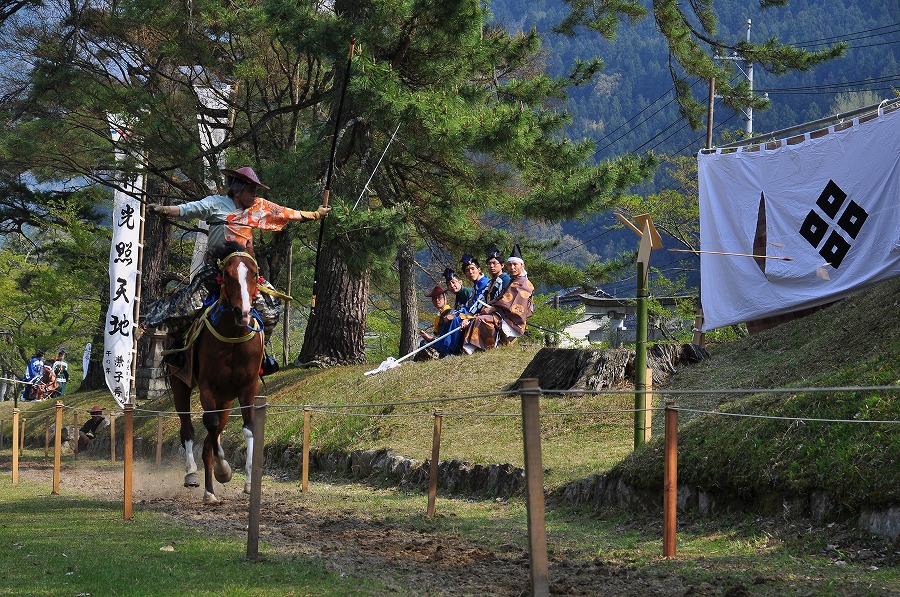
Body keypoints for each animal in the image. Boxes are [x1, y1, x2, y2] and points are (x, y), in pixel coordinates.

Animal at [170, 242, 264, 502]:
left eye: (254, 274)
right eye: (228, 275)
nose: (243, 312)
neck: (233, 336)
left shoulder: (247, 387)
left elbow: (249, 428)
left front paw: (250, 482)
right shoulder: (208, 387)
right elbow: (209, 424)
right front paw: (224, 471)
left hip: (226, 398)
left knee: (210, 440)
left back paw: (209, 491)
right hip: (180, 383)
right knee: (189, 430)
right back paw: (193, 476)